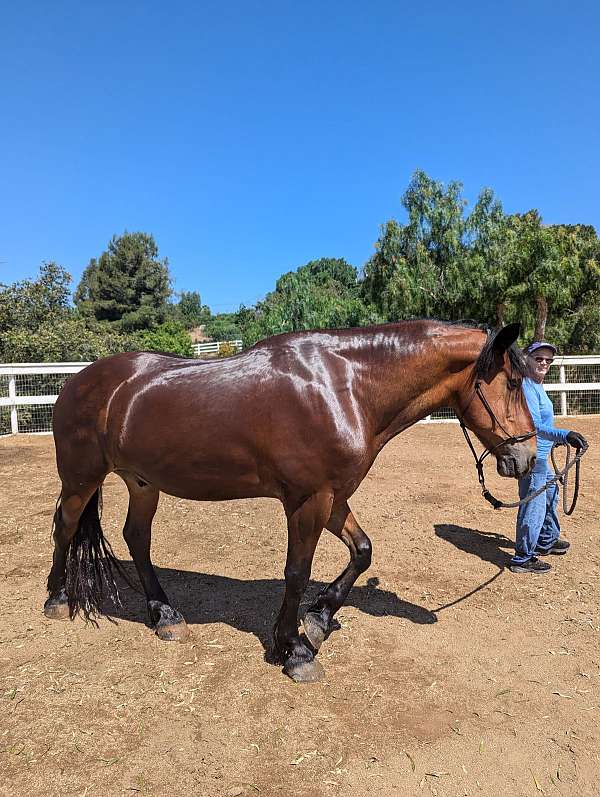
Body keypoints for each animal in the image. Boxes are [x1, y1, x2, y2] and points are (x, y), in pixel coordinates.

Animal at [45, 320, 536, 680]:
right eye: (513, 383)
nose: (528, 457)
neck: (343, 387)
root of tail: (77, 382)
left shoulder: (333, 497)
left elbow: (362, 551)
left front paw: (319, 619)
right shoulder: (308, 499)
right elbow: (296, 572)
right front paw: (293, 649)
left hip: (142, 482)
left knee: (136, 538)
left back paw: (164, 614)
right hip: (81, 479)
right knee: (65, 527)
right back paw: (58, 600)